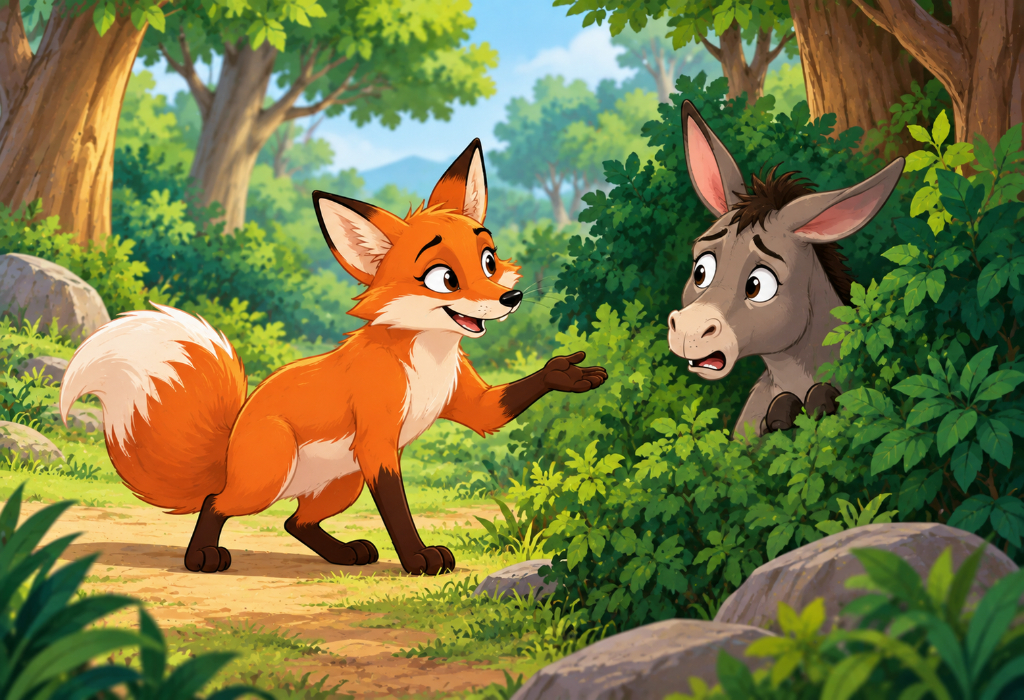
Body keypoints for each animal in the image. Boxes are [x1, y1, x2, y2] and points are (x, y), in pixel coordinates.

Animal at [59, 139, 607, 576]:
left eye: (488, 261)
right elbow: (399, 511)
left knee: (293, 520)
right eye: (444, 278)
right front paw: (418, 560)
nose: (510, 299)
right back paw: (202, 558)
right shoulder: (378, 442)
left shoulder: (466, 404)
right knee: (218, 503)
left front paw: (569, 373)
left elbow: (496, 409)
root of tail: (229, 446)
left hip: (341, 484)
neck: (427, 358)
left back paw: (345, 553)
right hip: (272, 475)